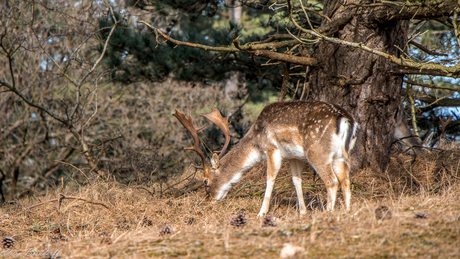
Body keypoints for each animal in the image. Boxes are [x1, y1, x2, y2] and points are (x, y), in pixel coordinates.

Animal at [174, 100, 358, 216]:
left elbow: (270, 178)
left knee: (332, 181)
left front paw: (262, 213)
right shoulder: (293, 156)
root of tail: (346, 119)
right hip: (341, 154)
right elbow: (296, 180)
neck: (256, 142)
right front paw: (302, 211)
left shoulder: (271, 148)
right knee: (345, 179)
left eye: (205, 181)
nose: (209, 199)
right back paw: (348, 211)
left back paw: (328, 212)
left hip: (317, 151)